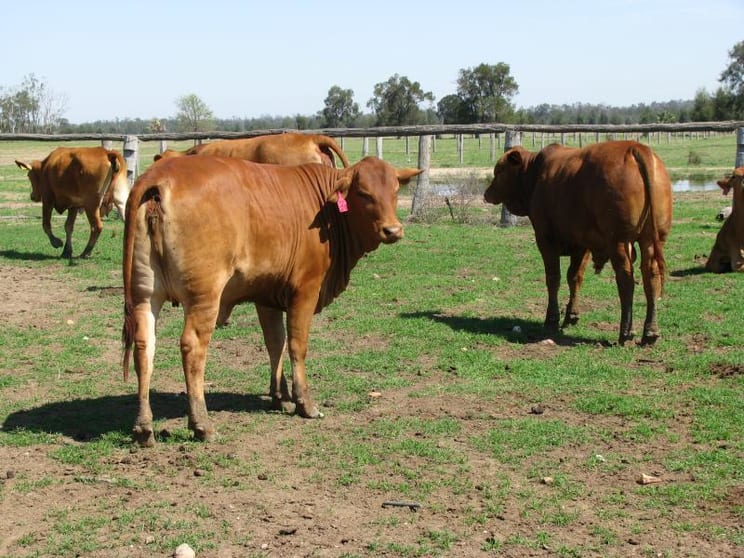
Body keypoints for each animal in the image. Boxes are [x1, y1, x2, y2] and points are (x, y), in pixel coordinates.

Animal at [121, 155, 422, 446]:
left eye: (395, 190)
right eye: (363, 193)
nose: (393, 230)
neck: (326, 211)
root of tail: (160, 175)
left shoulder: (266, 296)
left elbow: (275, 343)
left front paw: (280, 396)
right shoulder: (305, 289)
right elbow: (297, 346)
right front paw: (304, 403)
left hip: (145, 294)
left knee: (144, 348)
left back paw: (143, 426)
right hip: (204, 295)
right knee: (192, 347)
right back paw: (202, 424)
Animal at [484, 141, 672, 346]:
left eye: (499, 170)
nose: (487, 193)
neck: (534, 172)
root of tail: (635, 147)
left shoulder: (545, 240)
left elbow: (553, 278)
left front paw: (552, 319)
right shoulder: (582, 244)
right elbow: (574, 277)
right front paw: (571, 315)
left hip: (619, 242)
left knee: (626, 280)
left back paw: (625, 332)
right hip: (652, 240)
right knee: (651, 277)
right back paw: (650, 332)